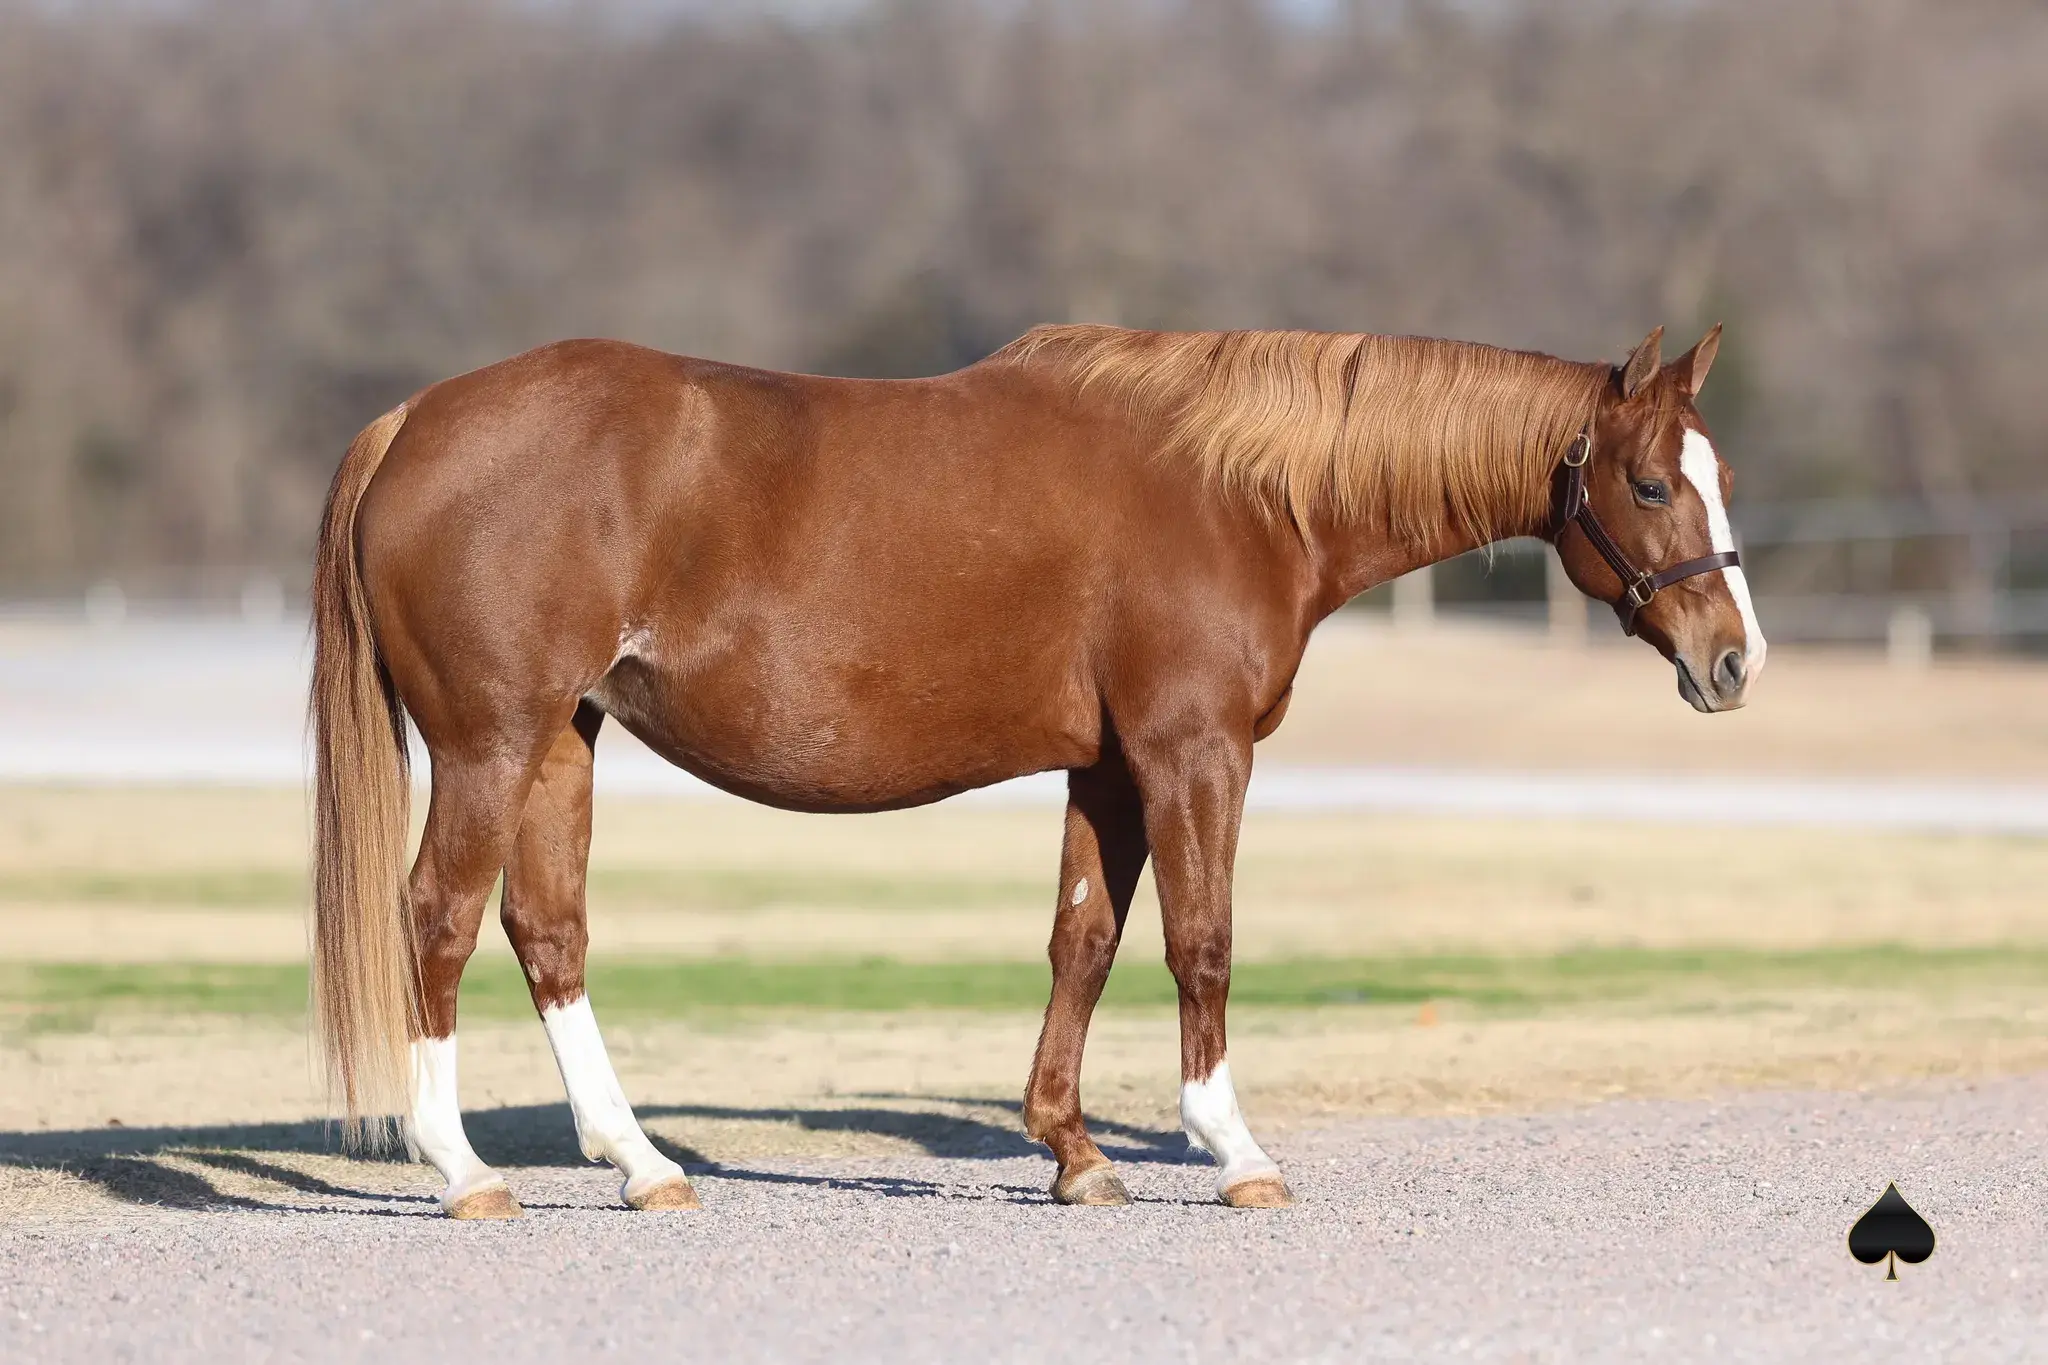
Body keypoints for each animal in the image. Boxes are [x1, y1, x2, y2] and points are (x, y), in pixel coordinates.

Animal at [309, 321, 1764, 1218]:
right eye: (1647, 485)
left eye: (1718, 474)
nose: (1732, 661)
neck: (1238, 490)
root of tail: (410, 422)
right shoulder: (1191, 752)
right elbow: (1201, 943)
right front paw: (1232, 1149)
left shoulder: (1109, 772)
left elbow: (1085, 942)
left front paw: (1071, 1151)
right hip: (493, 744)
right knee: (435, 922)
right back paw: (462, 1169)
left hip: (562, 739)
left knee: (548, 934)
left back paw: (640, 1161)